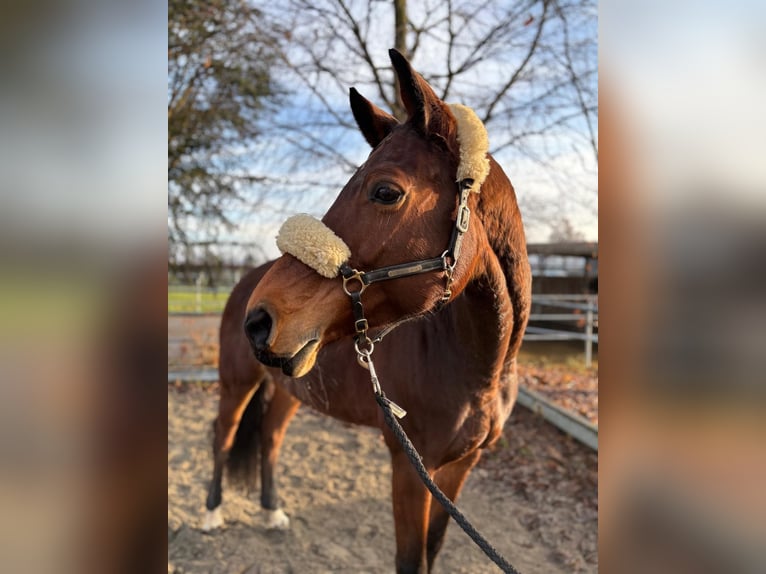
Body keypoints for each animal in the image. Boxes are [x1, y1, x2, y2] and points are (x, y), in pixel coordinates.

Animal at [203, 49, 531, 573]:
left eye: (386, 192)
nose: (259, 321)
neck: (476, 370)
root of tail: (241, 284)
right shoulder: (410, 470)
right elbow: (411, 560)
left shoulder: (458, 470)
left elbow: (433, 550)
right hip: (236, 382)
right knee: (223, 436)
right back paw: (213, 514)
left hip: (290, 389)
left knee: (270, 439)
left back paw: (272, 513)